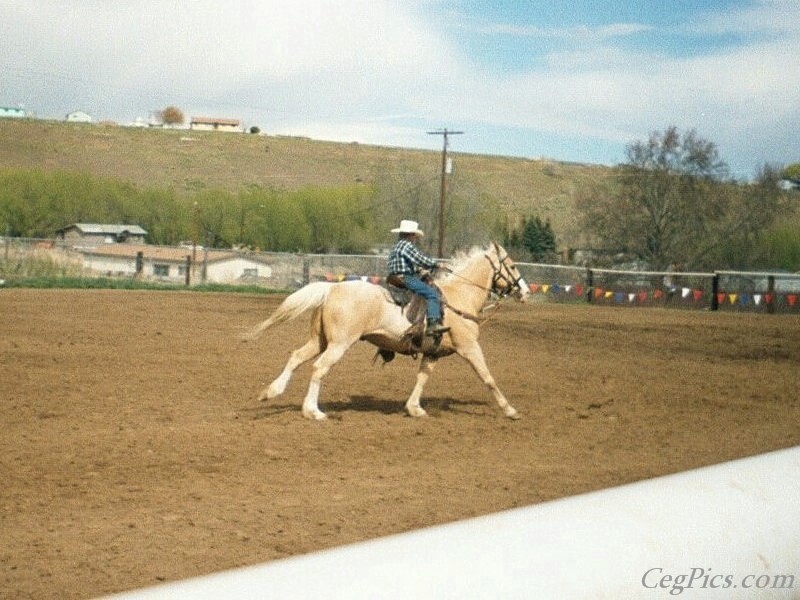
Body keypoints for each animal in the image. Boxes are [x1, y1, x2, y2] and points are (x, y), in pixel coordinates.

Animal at [247, 241, 528, 420]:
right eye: (513, 266)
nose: (524, 291)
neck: (460, 297)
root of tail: (332, 288)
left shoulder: (433, 353)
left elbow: (422, 378)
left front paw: (414, 408)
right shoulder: (469, 347)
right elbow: (488, 377)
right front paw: (510, 410)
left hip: (320, 340)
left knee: (296, 356)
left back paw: (271, 392)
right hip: (339, 344)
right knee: (319, 368)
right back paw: (313, 411)